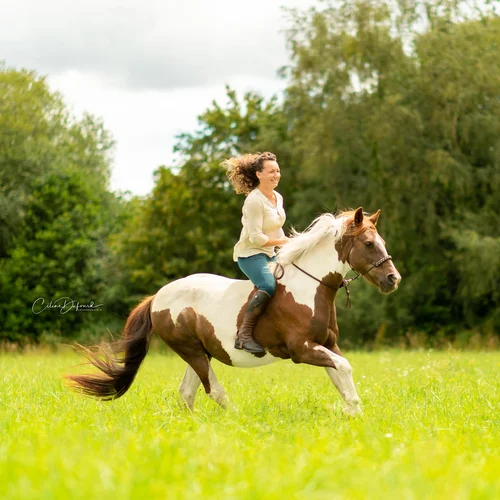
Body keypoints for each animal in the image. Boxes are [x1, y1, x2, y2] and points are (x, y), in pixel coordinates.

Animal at [66, 205, 402, 416]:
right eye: (369, 244)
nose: (393, 279)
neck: (311, 287)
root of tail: (158, 297)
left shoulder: (328, 344)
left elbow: (340, 373)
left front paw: (354, 412)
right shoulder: (302, 349)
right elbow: (343, 368)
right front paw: (353, 411)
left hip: (200, 352)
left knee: (188, 392)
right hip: (191, 350)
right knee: (212, 391)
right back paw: (237, 418)